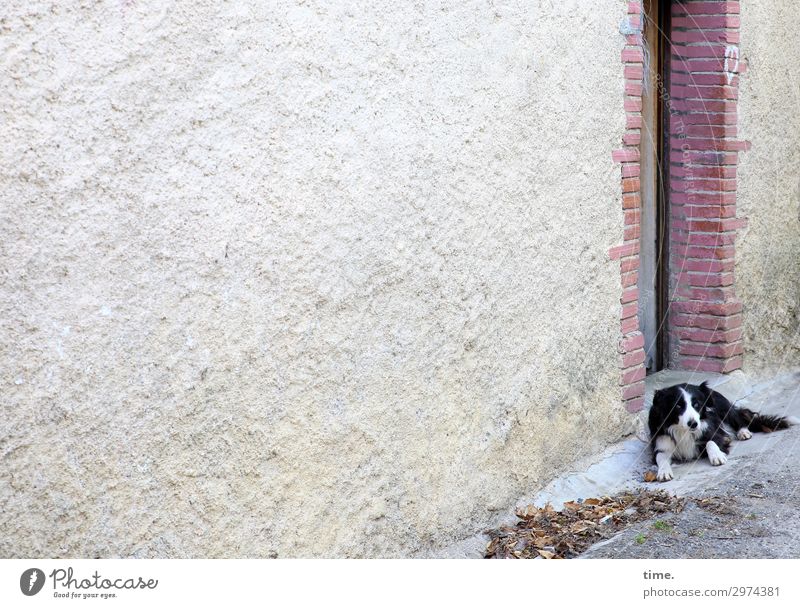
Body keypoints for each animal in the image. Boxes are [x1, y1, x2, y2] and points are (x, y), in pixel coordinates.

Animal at [648, 382, 792, 482]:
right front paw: (663, 472)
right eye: (678, 406)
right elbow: (660, 456)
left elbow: (711, 441)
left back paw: (743, 432)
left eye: (697, 404)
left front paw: (717, 456)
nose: (693, 424)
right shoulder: (662, 441)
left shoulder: (710, 430)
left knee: (739, 417)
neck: (681, 429)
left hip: (724, 407)